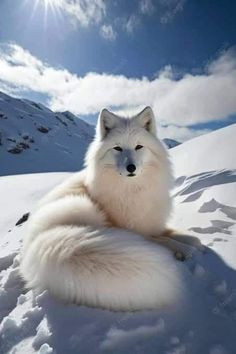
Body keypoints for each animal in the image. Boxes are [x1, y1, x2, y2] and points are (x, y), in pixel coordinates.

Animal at [20, 107, 198, 310]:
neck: (132, 190)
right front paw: (183, 249)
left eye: (139, 147)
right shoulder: (135, 230)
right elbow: (163, 239)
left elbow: (174, 233)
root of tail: (34, 245)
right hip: (80, 206)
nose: (131, 167)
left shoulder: (151, 223)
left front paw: (190, 239)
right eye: (118, 148)